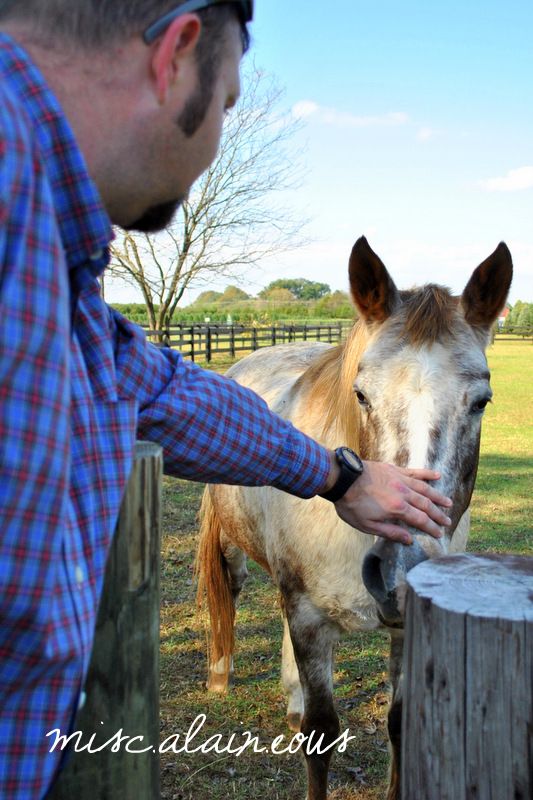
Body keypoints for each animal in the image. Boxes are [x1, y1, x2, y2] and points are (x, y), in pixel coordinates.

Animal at [194, 238, 512, 800]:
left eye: (481, 402)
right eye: (361, 394)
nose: (402, 574)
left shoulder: (406, 631)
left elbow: (401, 725)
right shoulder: (307, 616)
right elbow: (321, 732)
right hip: (235, 549)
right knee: (228, 591)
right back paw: (220, 676)